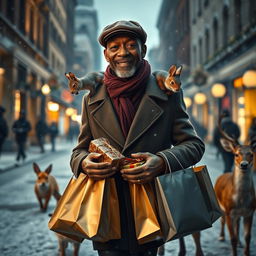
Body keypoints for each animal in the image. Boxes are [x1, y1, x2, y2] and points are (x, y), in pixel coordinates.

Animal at [214, 120, 256, 256]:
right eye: (236, 154)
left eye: (251, 154)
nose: (244, 164)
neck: (241, 201)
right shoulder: (228, 211)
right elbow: (231, 237)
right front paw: (233, 251)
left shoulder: (250, 212)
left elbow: (248, 237)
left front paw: (246, 251)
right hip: (220, 204)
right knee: (222, 220)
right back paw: (221, 236)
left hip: (238, 214)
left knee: (237, 224)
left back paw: (239, 242)